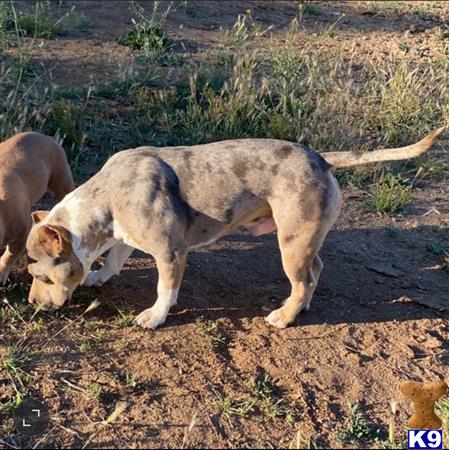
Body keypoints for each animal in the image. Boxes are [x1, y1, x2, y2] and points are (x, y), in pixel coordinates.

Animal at [26, 128, 442, 328]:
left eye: (42, 277)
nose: (30, 302)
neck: (106, 198)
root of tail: (322, 159)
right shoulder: (127, 237)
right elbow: (114, 258)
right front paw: (98, 275)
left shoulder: (171, 253)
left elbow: (165, 290)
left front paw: (155, 317)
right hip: (303, 238)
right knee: (316, 270)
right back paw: (299, 308)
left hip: (291, 244)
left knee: (304, 279)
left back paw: (283, 317)